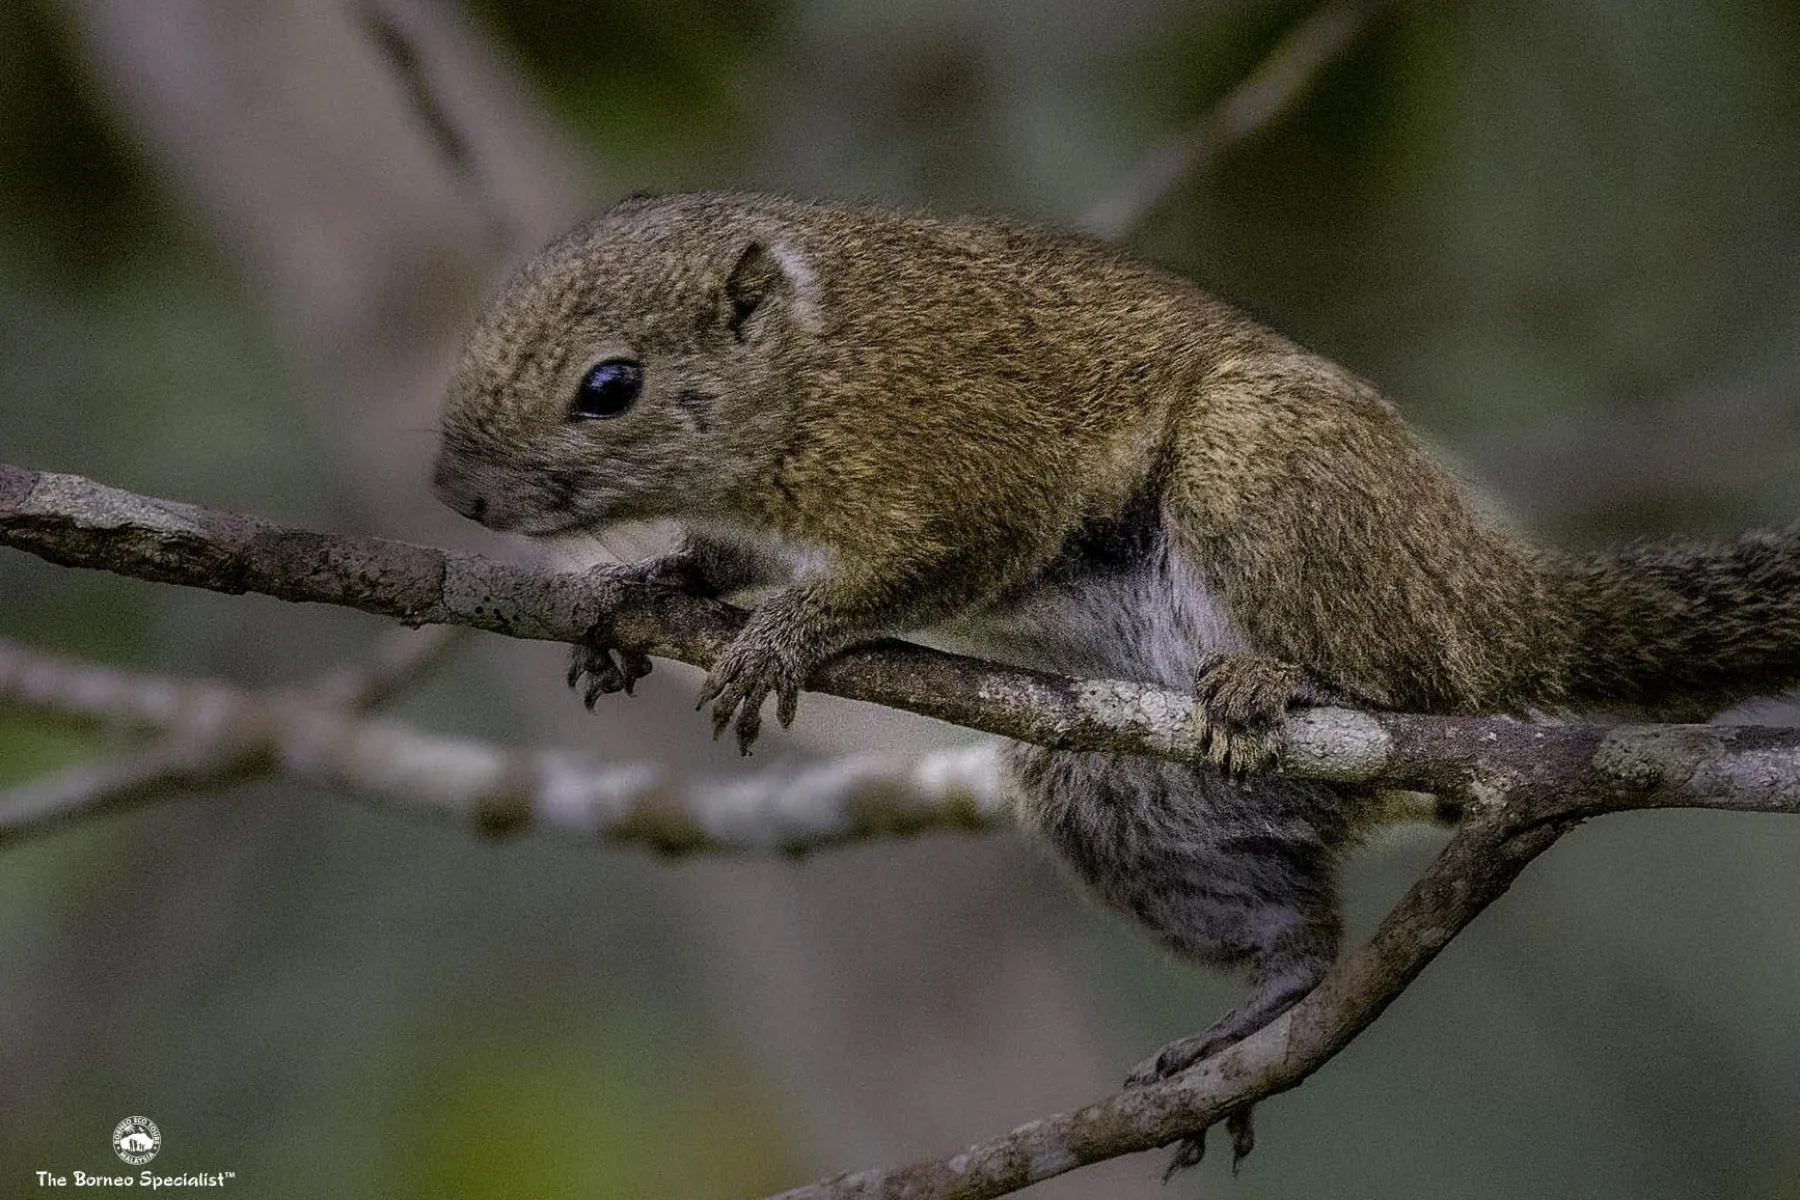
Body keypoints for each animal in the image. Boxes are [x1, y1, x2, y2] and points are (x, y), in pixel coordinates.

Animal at [433, 190, 1800, 1168]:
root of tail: (1489, 589)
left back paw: (1279, 682)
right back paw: (1259, 1007)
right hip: (1119, 791)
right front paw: (638, 595)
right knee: (1304, 933)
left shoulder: (964, 472)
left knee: (1413, 676)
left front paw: (782, 635)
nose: (456, 492)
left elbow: (903, 570)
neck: (812, 368)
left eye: (610, 387)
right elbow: (709, 561)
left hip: (1267, 468)